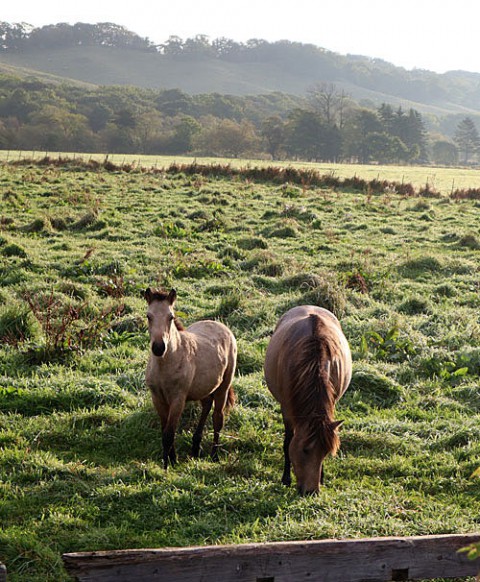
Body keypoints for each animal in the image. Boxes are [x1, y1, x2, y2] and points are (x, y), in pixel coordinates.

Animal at [144, 290, 238, 472]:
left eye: (171, 317)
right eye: (148, 316)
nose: (158, 348)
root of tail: (220, 325)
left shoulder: (178, 399)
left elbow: (169, 434)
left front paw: (166, 466)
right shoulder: (157, 398)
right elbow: (165, 430)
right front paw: (172, 460)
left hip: (223, 387)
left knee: (218, 418)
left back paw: (214, 455)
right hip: (203, 387)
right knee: (207, 404)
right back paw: (195, 447)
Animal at [264, 306, 350, 498]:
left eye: (326, 452)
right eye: (305, 449)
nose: (311, 492)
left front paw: (322, 476)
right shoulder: (287, 409)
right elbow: (288, 442)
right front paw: (286, 478)